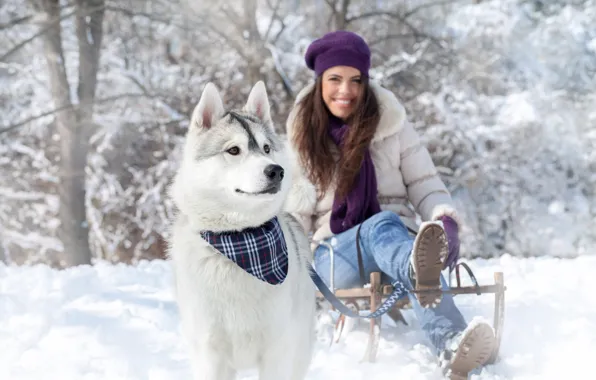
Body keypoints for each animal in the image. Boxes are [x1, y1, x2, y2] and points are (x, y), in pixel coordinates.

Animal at [168, 81, 316, 378]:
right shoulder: (210, 354)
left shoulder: (277, 351)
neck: (239, 239)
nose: (277, 171)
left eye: (266, 148)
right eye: (234, 150)